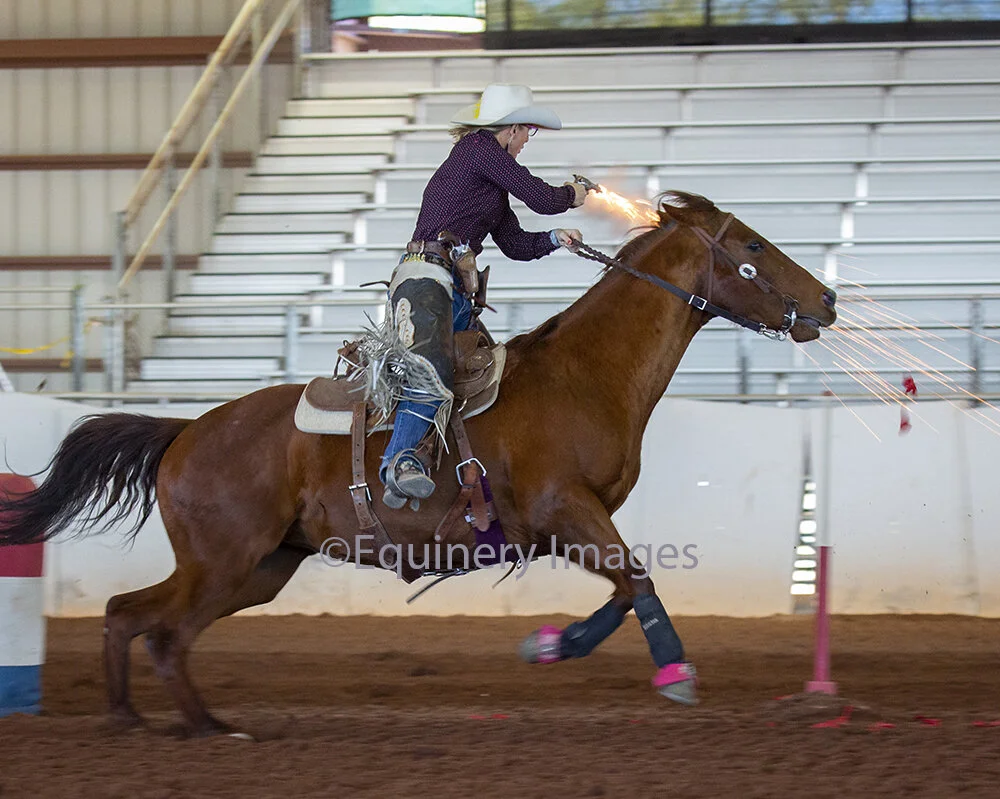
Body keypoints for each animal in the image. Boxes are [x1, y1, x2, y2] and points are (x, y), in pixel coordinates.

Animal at [0, 191, 837, 737]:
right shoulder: (566, 508)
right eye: (753, 245)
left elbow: (624, 590)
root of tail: (185, 432)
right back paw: (207, 726)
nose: (827, 301)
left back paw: (130, 717)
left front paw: (551, 644)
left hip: (257, 568)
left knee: (128, 614)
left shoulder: (569, 523)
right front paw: (676, 673)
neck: (585, 372)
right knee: (163, 633)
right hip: (224, 560)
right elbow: (639, 580)